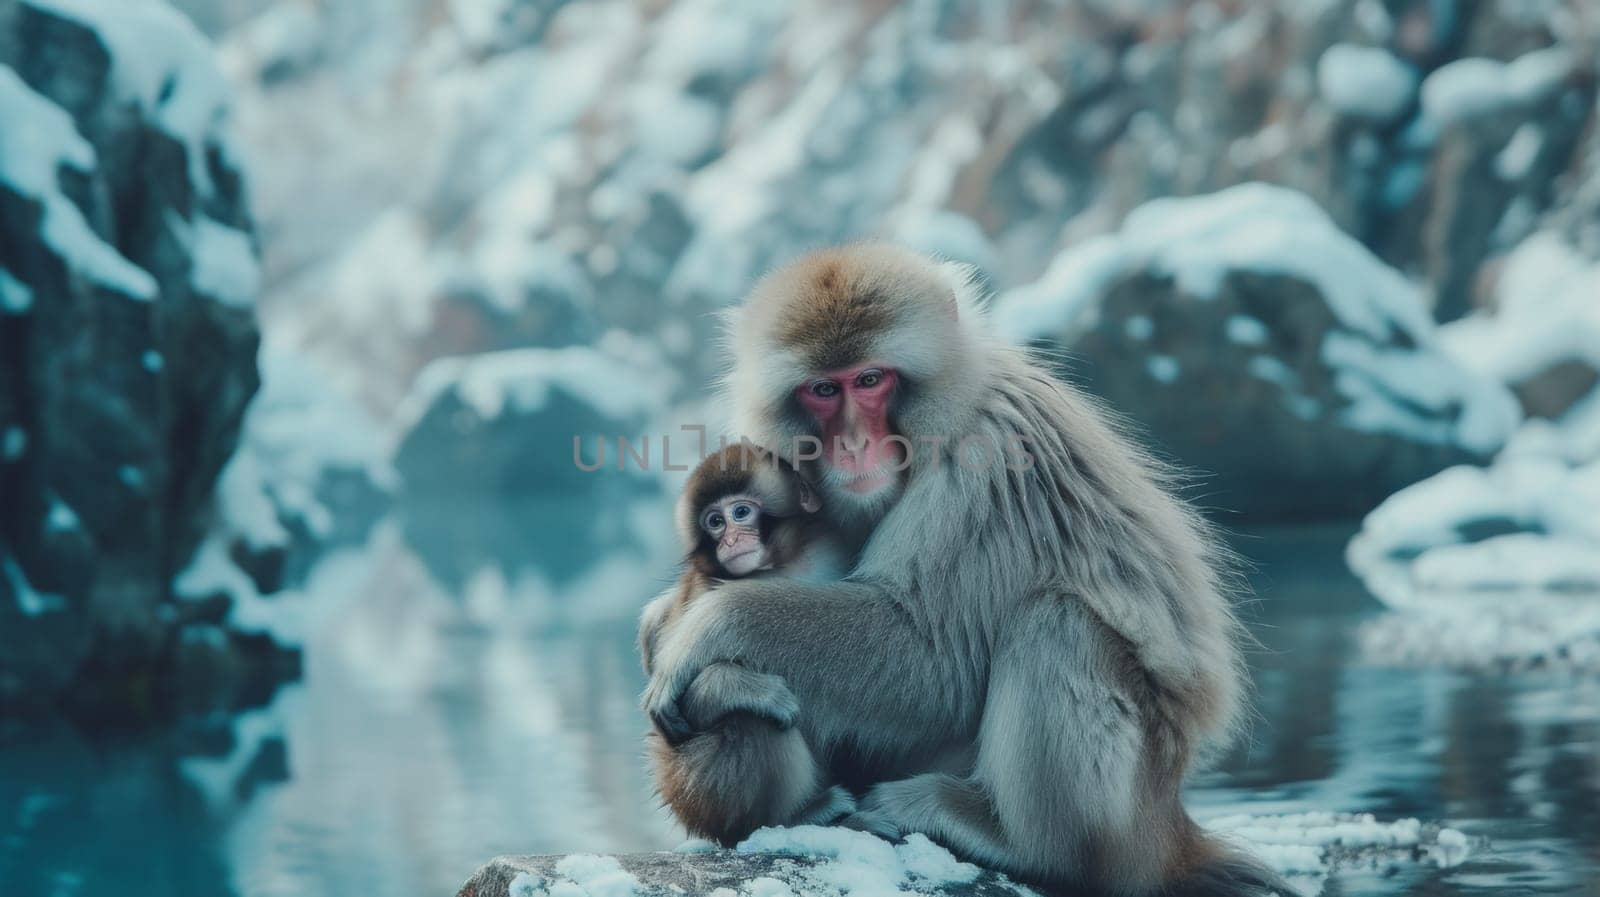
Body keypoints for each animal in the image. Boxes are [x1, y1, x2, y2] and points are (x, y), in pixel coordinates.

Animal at [640, 444, 857, 844]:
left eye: (740, 512)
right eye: (715, 522)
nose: (731, 540)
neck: (781, 567)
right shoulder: (702, 590)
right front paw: (729, 686)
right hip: (696, 786)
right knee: (753, 721)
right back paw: (797, 816)